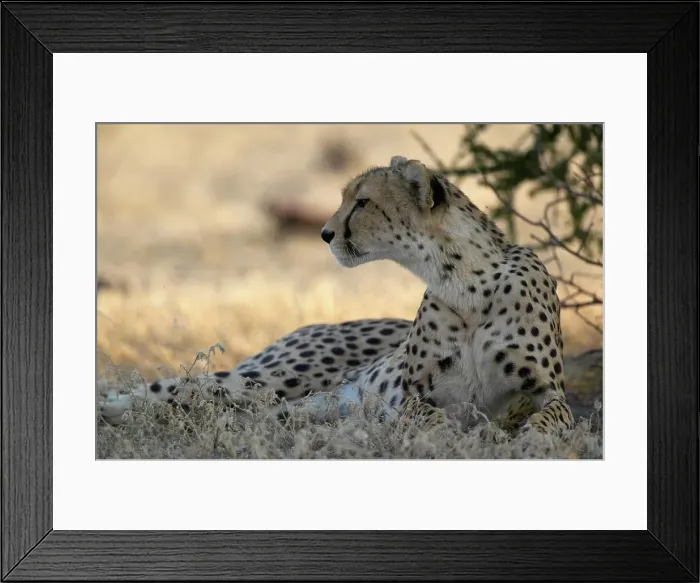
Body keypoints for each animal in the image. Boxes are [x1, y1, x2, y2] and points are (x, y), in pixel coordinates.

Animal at [100, 155, 574, 435]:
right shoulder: (413, 398)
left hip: (286, 404)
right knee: (173, 391)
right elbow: (432, 417)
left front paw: (525, 439)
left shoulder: (547, 392)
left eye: (362, 202)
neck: (465, 278)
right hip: (269, 381)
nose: (324, 233)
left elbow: (552, 418)